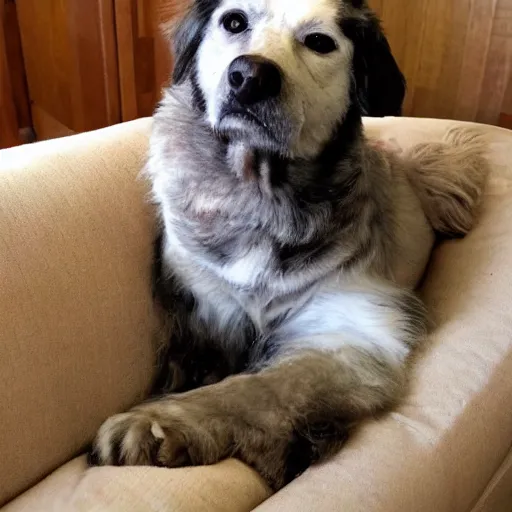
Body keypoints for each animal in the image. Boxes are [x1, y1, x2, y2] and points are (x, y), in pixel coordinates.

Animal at [90, 0, 490, 490]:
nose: (249, 76)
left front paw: (162, 420)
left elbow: (254, 387)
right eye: (234, 21)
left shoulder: (350, 329)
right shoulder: (206, 312)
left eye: (319, 41)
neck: (261, 193)